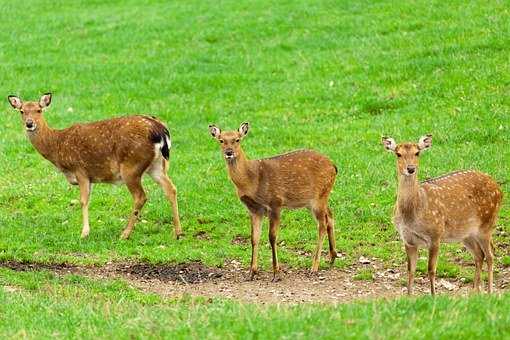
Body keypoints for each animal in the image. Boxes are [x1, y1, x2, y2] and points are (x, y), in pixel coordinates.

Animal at [7, 93, 181, 239]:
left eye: (39, 110)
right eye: (22, 111)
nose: (30, 124)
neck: (58, 147)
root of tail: (161, 130)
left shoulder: (80, 169)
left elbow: (83, 201)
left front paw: (84, 233)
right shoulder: (89, 177)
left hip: (131, 166)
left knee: (141, 196)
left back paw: (125, 234)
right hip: (157, 166)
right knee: (171, 189)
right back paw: (178, 232)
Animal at [208, 122, 338, 282]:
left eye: (237, 139)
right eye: (221, 140)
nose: (229, 152)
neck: (252, 179)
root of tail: (334, 167)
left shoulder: (275, 202)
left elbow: (272, 237)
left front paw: (276, 273)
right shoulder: (254, 209)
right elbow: (254, 238)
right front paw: (251, 272)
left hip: (318, 197)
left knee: (322, 224)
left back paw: (314, 267)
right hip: (318, 198)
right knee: (330, 215)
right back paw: (332, 257)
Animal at [382, 134, 502, 294]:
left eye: (417, 153)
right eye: (398, 154)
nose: (411, 168)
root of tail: (499, 189)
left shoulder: (435, 234)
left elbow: (431, 270)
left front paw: (433, 295)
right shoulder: (408, 239)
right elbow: (410, 270)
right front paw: (409, 296)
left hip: (487, 224)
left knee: (490, 255)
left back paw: (489, 292)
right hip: (466, 233)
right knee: (479, 255)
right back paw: (475, 292)